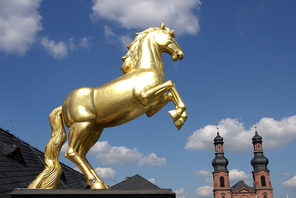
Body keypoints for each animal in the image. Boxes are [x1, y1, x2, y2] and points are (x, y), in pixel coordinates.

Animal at [29, 22, 187, 190]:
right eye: (170, 37)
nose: (180, 54)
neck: (145, 69)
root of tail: (63, 105)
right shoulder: (144, 95)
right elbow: (171, 84)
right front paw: (178, 116)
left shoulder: (150, 107)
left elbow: (170, 94)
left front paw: (178, 117)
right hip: (81, 125)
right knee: (71, 152)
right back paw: (96, 182)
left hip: (94, 131)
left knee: (81, 154)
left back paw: (99, 183)